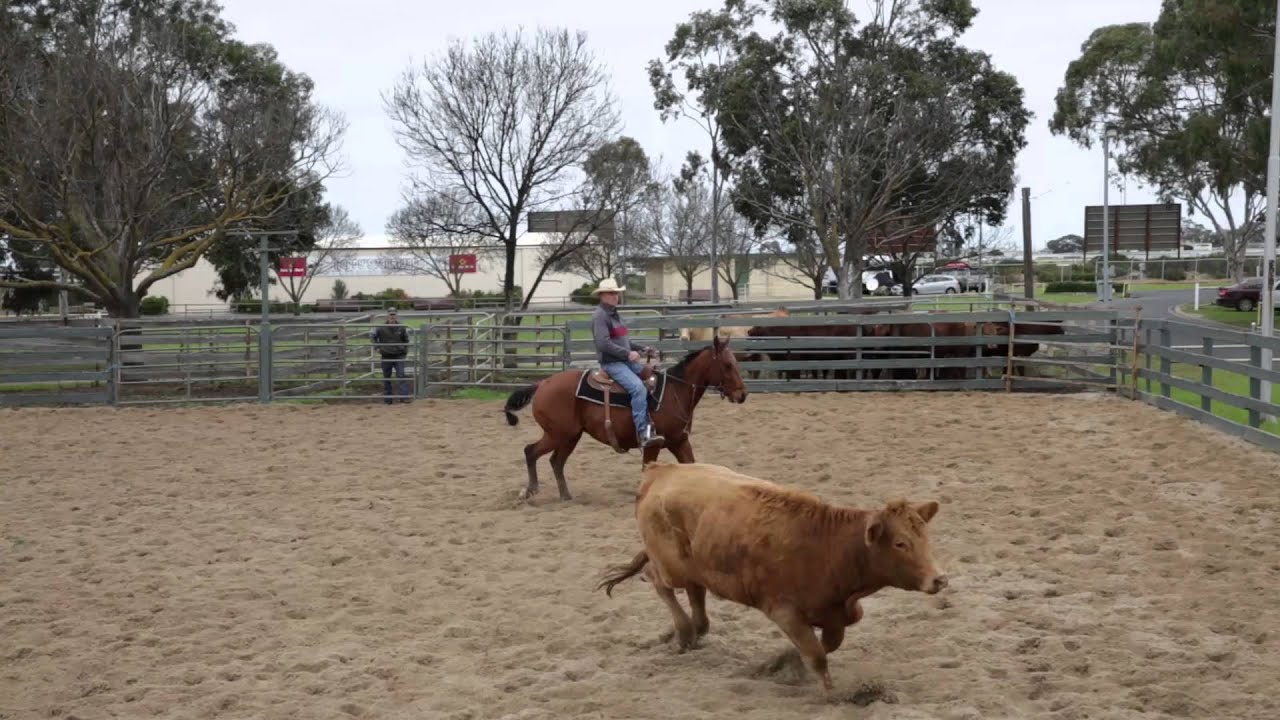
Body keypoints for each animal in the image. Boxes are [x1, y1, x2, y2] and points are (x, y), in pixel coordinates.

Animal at [501, 336, 749, 502]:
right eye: (728, 365)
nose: (742, 395)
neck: (674, 391)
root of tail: (542, 383)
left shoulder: (679, 441)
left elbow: (692, 466)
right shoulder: (652, 445)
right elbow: (647, 470)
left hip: (570, 436)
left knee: (556, 461)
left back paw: (565, 496)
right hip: (557, 434)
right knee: (531, 451)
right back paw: (530, 490)